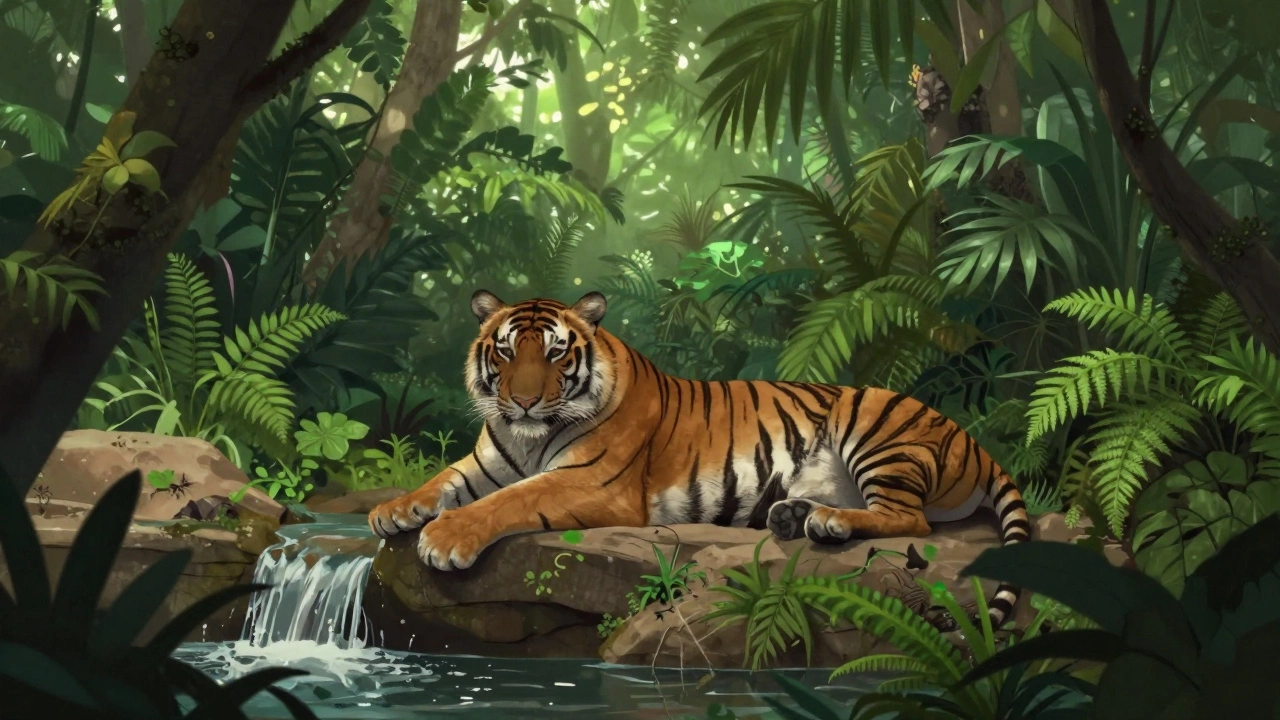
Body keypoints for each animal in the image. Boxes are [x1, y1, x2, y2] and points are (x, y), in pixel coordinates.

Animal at [369, 290, 1032, 625]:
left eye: (556, 353)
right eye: (505, 352)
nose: (525, 400)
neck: (529, 436)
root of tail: (975, 440)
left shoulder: (593, 482)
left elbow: (512, 500)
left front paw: (444, 539)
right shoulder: (486, 463)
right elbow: (442, 479)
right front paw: (393, 511)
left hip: (871, 423)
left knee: (908, 518)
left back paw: (826, 523)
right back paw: (795, 516)